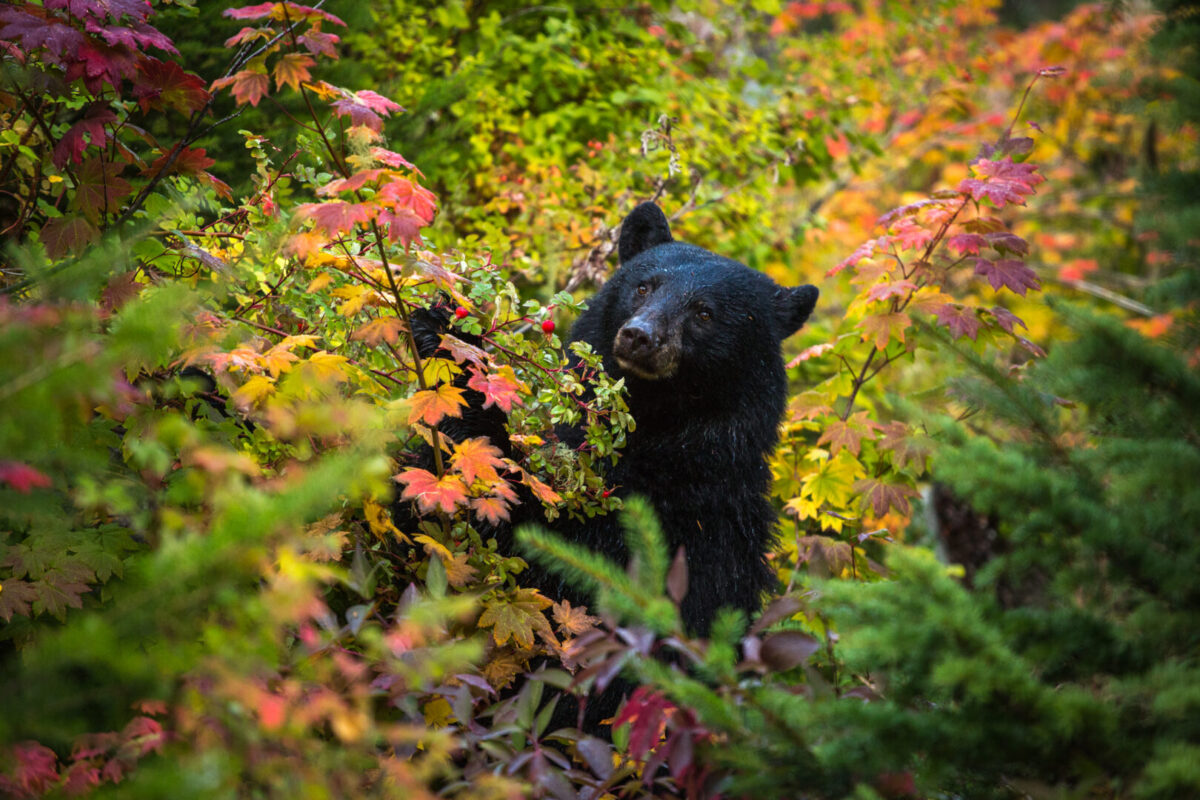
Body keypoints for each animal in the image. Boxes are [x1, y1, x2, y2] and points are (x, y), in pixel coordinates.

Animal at [400, 201, 819, 638]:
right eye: (644, 287)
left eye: (704, 313)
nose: (640, 335)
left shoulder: (675, 519)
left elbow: (545, 541)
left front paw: (449, 347)